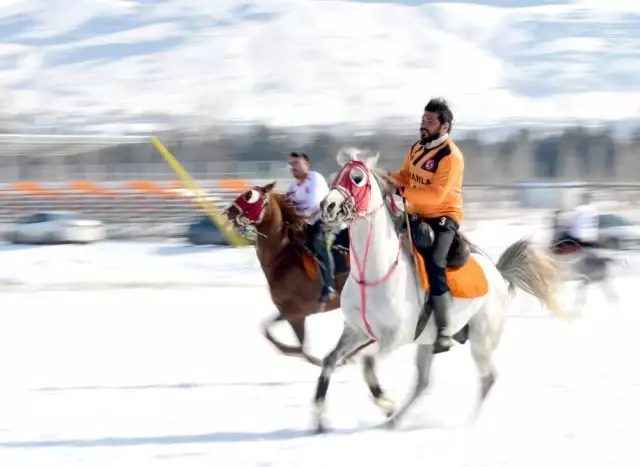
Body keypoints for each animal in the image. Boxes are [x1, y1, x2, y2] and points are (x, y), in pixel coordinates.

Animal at [312, 148, 564, 434]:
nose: (327, 207)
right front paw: (319, 415)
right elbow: (329, 360)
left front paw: (385, 402)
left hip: (481, 341)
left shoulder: (393, 337)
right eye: (335, 176)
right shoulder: (355, 330)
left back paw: (466, 423)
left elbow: (367, 364)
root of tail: (498, 274)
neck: (373, 274)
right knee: (423, 382)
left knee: (487, 378)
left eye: (357, 178)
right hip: (427, 344)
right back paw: (395, 421)